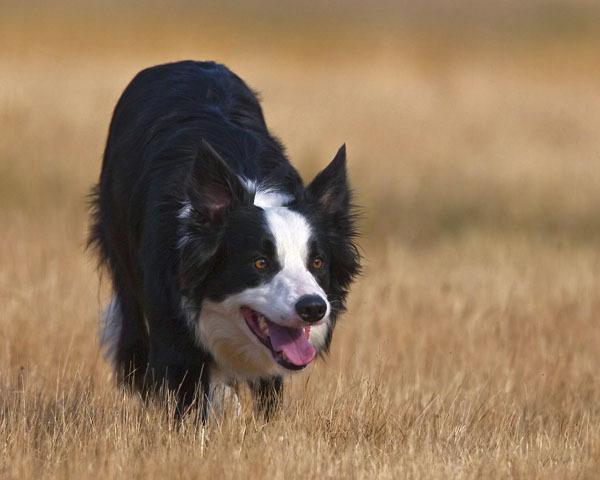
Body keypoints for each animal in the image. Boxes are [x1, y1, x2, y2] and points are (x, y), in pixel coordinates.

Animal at [89, 61, 360, 420]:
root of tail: (184, 63)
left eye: (317, 262)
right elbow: (186, 394)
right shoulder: (172, 325)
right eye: (260, 262)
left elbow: (268, 391)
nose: (313, 308)